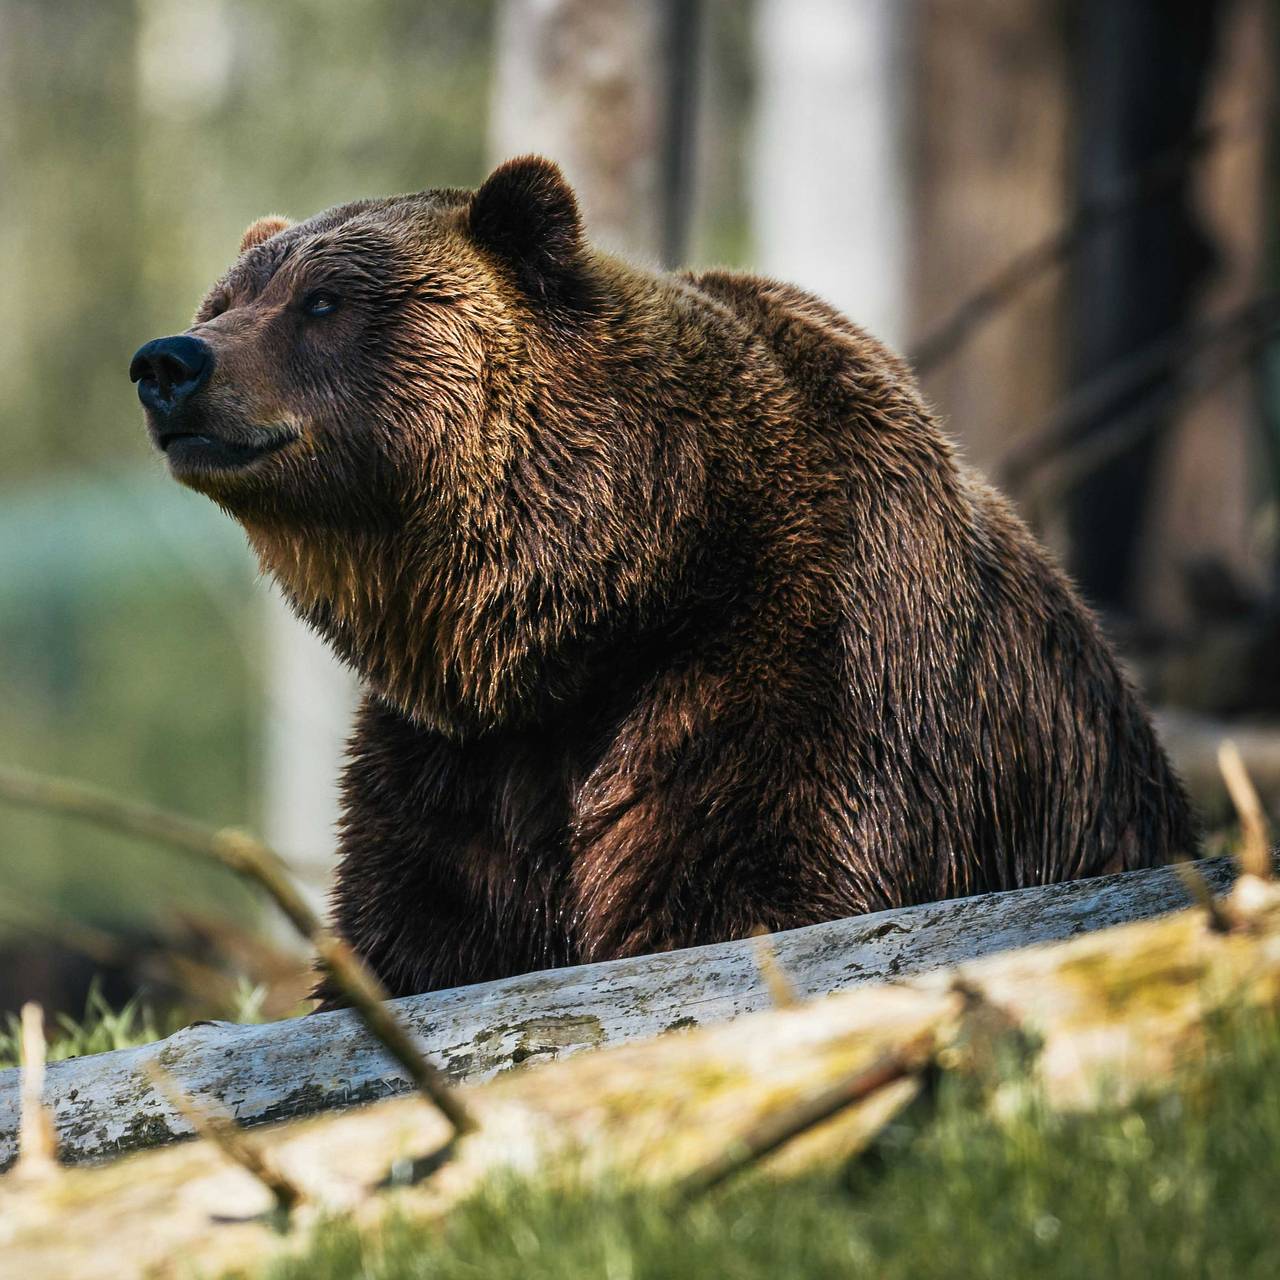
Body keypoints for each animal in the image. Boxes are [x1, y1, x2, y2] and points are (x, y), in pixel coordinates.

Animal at [129, 157, 1198, 998]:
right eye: (224, 303)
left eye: (323, 302)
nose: (169, 361)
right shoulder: (459, 762)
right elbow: (419, 934)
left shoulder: (800, 666)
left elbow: (746, 891)